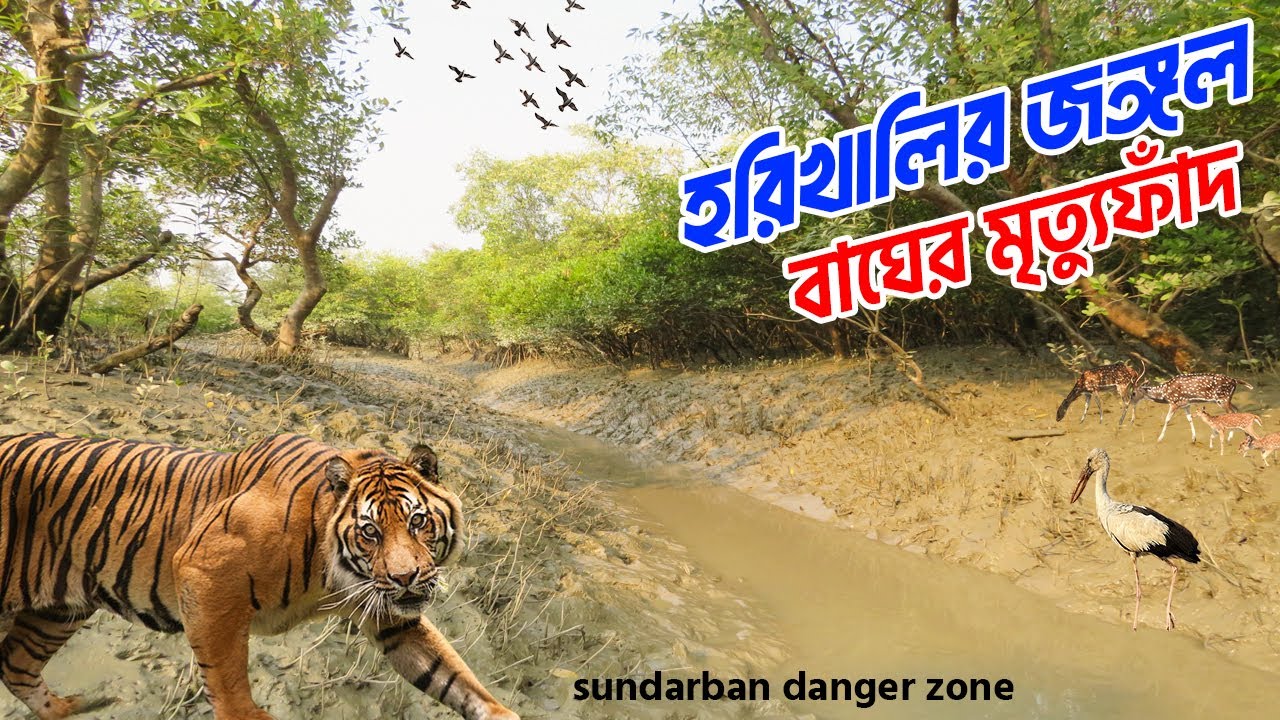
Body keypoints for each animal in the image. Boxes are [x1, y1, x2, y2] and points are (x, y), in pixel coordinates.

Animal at [0, 432, 519, 720]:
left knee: (16, 665)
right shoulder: (205, 573)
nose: (408, 577)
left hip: (59, 610)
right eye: (370, 531)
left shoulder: (392, 615)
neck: (336, 575)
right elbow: (227, 673)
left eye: (418, 522)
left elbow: (452, 676)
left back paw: (69, 710)